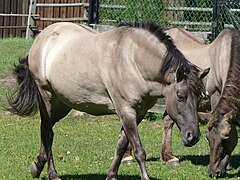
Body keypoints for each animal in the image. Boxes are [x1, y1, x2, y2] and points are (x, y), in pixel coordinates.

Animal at [8, 21, 209, 179]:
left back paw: (36, 166)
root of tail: (42, 37)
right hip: (47, 98)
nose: (193, 136)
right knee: (47, 133)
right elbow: (139, 151)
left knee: (46, 130)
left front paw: (111, 176)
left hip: (62, 103)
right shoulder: (126, 111)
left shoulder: (138, 113)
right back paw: (52, 174)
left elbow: (121, 146)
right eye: (181, 96)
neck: (132, 60)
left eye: (199, 97)